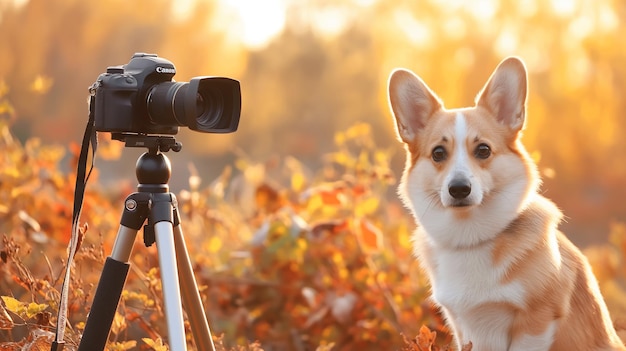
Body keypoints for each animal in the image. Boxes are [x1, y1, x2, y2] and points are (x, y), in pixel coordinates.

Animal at [388, 57, 620, 351]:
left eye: (483, 150)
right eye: (438, 153)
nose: (459, 189)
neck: (471, 238)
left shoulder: (537, 321)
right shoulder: (463, 328)